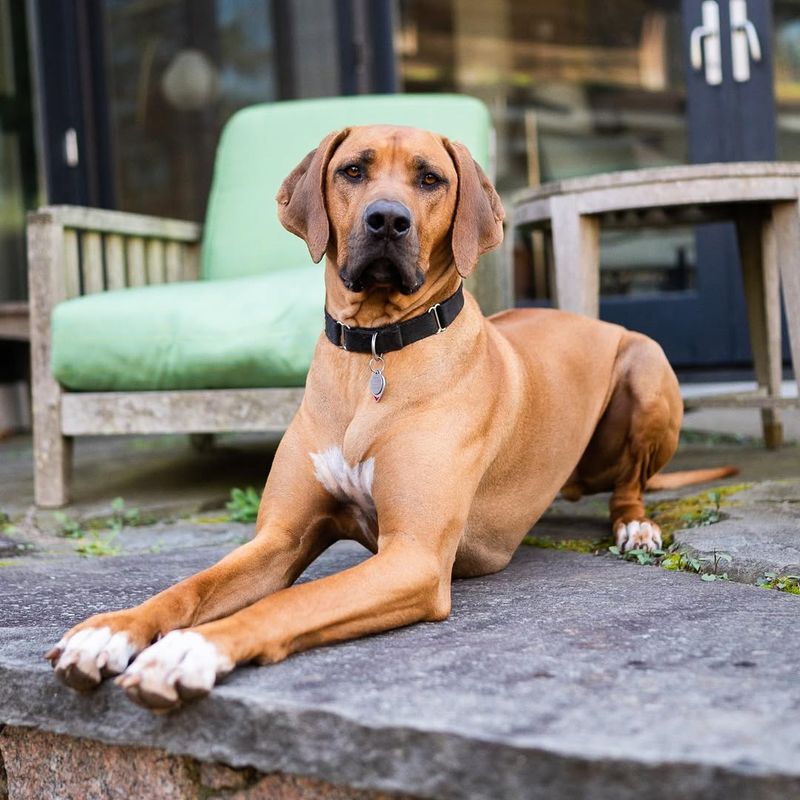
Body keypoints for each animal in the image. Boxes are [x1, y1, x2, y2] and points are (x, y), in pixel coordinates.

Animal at [43, 126, 732, 712]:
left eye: (430, 179)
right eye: (353, 170)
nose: (387, 219)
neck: (374, 350)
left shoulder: (414, 559)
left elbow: (295, 600)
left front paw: (191, 650)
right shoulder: (278, 539)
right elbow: (187, 588)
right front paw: (111, 631)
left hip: (647, 363)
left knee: (631, 484)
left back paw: (635, 526)